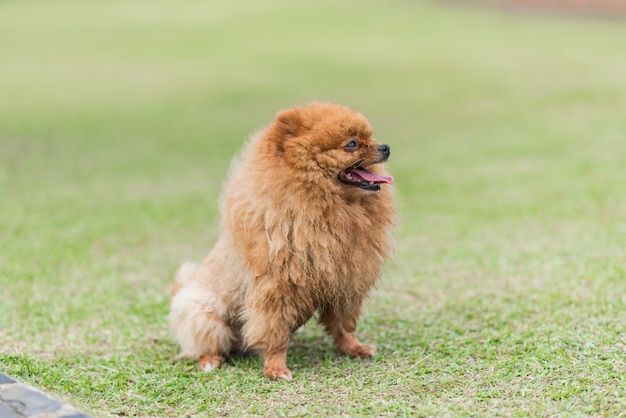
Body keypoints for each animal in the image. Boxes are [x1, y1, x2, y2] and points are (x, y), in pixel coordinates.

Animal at [169, 101, 394, 378]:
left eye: (370, 138)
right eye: (352, 144)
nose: (385, 147)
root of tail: (182, 286)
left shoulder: (344, 281)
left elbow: (343, 324)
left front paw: (354, 348)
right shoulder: (276, 288)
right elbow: (274, 332)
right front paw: (276, 368)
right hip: (204, 316)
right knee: (205, 343)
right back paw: (210, 360)